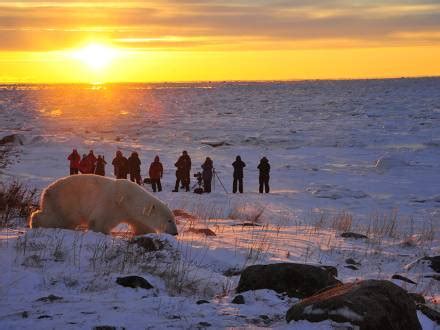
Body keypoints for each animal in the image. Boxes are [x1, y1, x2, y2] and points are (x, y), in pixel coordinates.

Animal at [29, 174, 179, 236]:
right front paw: (104, 232)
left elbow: (142, 225)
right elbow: (99, 221)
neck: (129, 199)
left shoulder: (132, 214)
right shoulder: (112, 204)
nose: (175, 233)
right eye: (169, 220)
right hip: (65, 202)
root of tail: (46, 191)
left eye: (173, 219)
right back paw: (35, 222)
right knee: (58, 218)